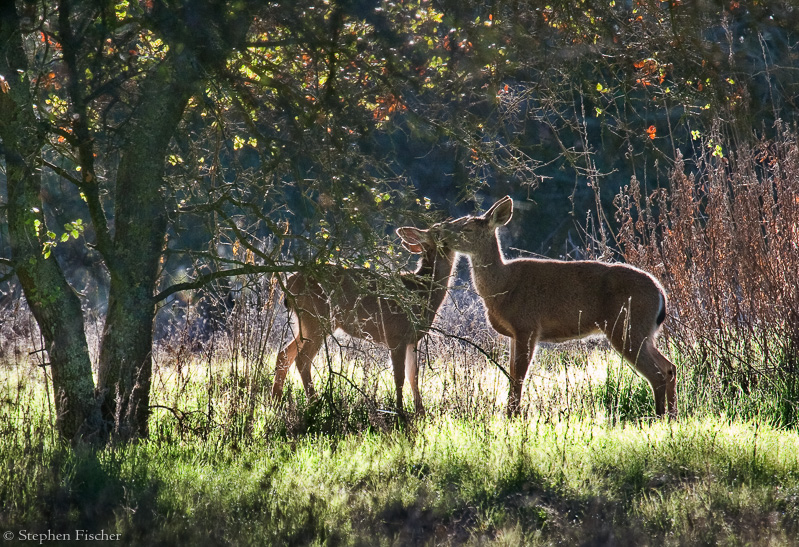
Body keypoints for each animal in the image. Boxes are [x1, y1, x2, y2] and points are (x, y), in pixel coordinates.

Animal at [270, 227, 456, 414]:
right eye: (440, 231)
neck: (423, 292)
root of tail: (289, 283)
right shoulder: (396, 336)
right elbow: (399, 376)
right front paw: (400, 413)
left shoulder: (413, 339)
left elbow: (413, 376)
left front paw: (420, 413)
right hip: (318, 318)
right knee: (302, 359)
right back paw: (314, 403)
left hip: (305, 323)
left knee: (284, 354)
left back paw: (276, 402)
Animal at [435, 196, 677, 418]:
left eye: (466, 228)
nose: (439, 232)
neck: (502, 286)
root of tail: (661, 293)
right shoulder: (514, 333)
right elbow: (512, 373)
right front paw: (511, 413)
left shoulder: (527, 326)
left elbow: (519, 374)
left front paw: (513, 416)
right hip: (643, 332)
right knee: (669, 367)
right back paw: (672, 416)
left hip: (627, 326)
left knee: (657, 374)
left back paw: (659, 417)